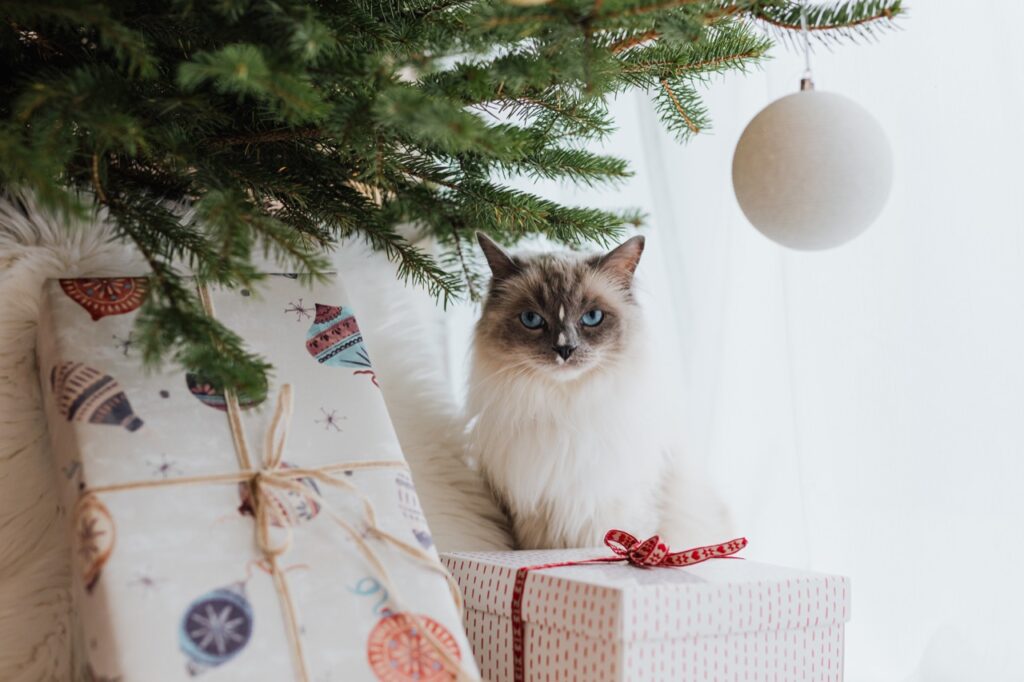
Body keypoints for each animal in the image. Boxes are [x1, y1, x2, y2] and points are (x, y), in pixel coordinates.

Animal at [468, 229, 733, 548]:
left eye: (592, 318)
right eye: (532, 320)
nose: (565, 349)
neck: (566, 409)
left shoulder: (613, 513)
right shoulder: (531, 520)